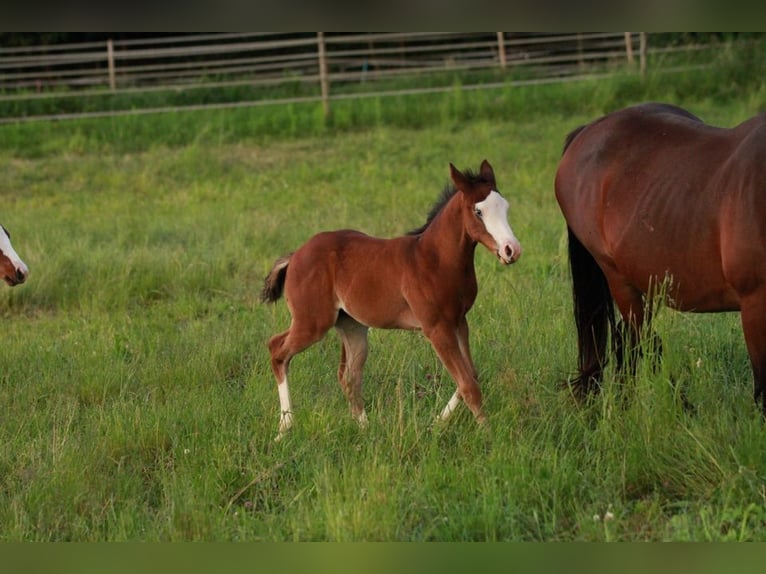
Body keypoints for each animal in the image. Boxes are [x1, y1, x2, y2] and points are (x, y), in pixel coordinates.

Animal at [262, 162, 520, 440]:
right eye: (478, 210)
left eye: (506, 207)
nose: (511, 250)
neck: (436, 259)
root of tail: (296, 255)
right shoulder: (437, 328)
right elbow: (468, 384)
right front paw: (489, 434)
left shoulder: (460, 321)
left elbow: (470, 376)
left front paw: (435, 424)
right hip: (313, 322)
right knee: (277, 350)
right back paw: (285, 427)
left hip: (352, 326)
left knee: (349, 376)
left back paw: (366, 430)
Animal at [560, 103, 766, 414]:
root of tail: (588, 130)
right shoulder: (755, 304)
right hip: (618, 277)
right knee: (641, 340)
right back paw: (680, 408)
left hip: (646, 280)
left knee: (629, 341)